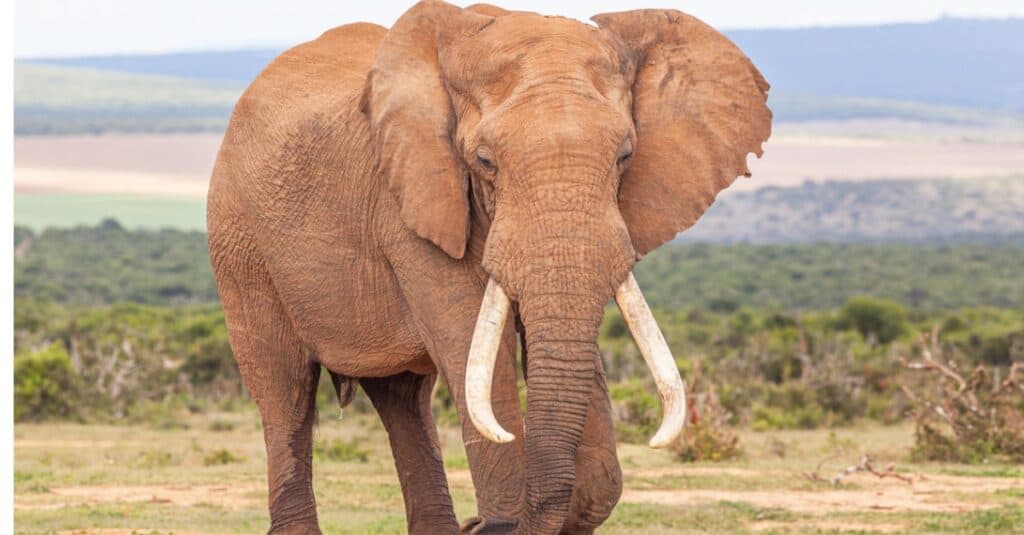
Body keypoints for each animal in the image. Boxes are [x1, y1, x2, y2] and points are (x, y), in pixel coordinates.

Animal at [205, 2, 770, 528]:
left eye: (625, 156)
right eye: (484, 162)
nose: (477, 524)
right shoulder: (411, 205)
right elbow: (472, 347)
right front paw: (499, 520)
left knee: (403, 399)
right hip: (240, 244)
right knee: (286, 396)